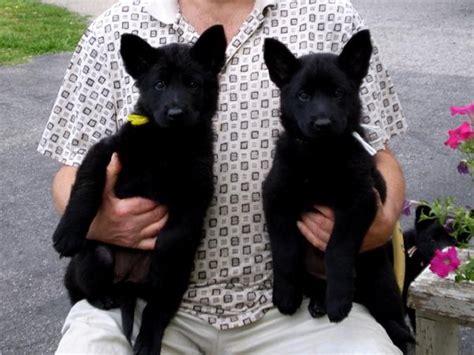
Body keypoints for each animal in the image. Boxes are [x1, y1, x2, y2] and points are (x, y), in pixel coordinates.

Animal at [262, 31, 412, 354]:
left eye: (338, 93)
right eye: (303, 95)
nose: (322, 124)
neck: (321, 155)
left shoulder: (358, 202)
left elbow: (338, 251)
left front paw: (339, 299)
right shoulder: (275, 198)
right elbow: (285, 249)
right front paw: (285, 294)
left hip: (381, 278)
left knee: (392, 315)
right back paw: (318, 300)